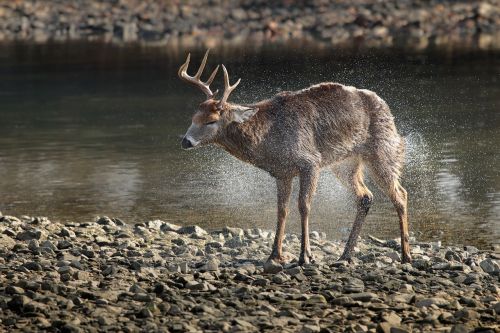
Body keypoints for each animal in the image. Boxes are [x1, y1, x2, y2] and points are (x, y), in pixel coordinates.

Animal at [178, 50, 412, 272]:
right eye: (193, 117)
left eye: (211, 121)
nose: (185, 141)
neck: (268, 140)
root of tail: (386, 107)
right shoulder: (282, 172)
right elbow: (282, 210)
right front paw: (275, 255)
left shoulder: (310, 162)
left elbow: (304, 205)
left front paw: (305, 256)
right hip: (345, 164)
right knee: (365, 196)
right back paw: (345, 256)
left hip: (382, 150)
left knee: (400, 194)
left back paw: (406, 255)